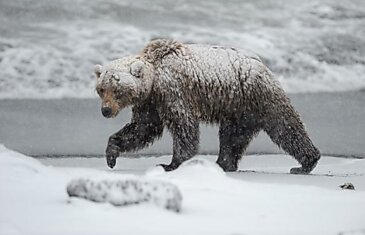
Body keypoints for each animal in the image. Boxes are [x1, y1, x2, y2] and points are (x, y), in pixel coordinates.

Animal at [94, 39, 318, 174]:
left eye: (117, 90)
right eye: (101, 89)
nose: (106, 110)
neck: (154, 79)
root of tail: (263, 65)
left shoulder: (173, 91)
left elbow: (183, 126)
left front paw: (171, 164)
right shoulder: (150, 102)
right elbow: (142, 128)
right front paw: (111, 154)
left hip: (257, 95)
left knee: (285, 127)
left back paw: (306, 162)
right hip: (238, 110)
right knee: (232, 136)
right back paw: (223, 163)